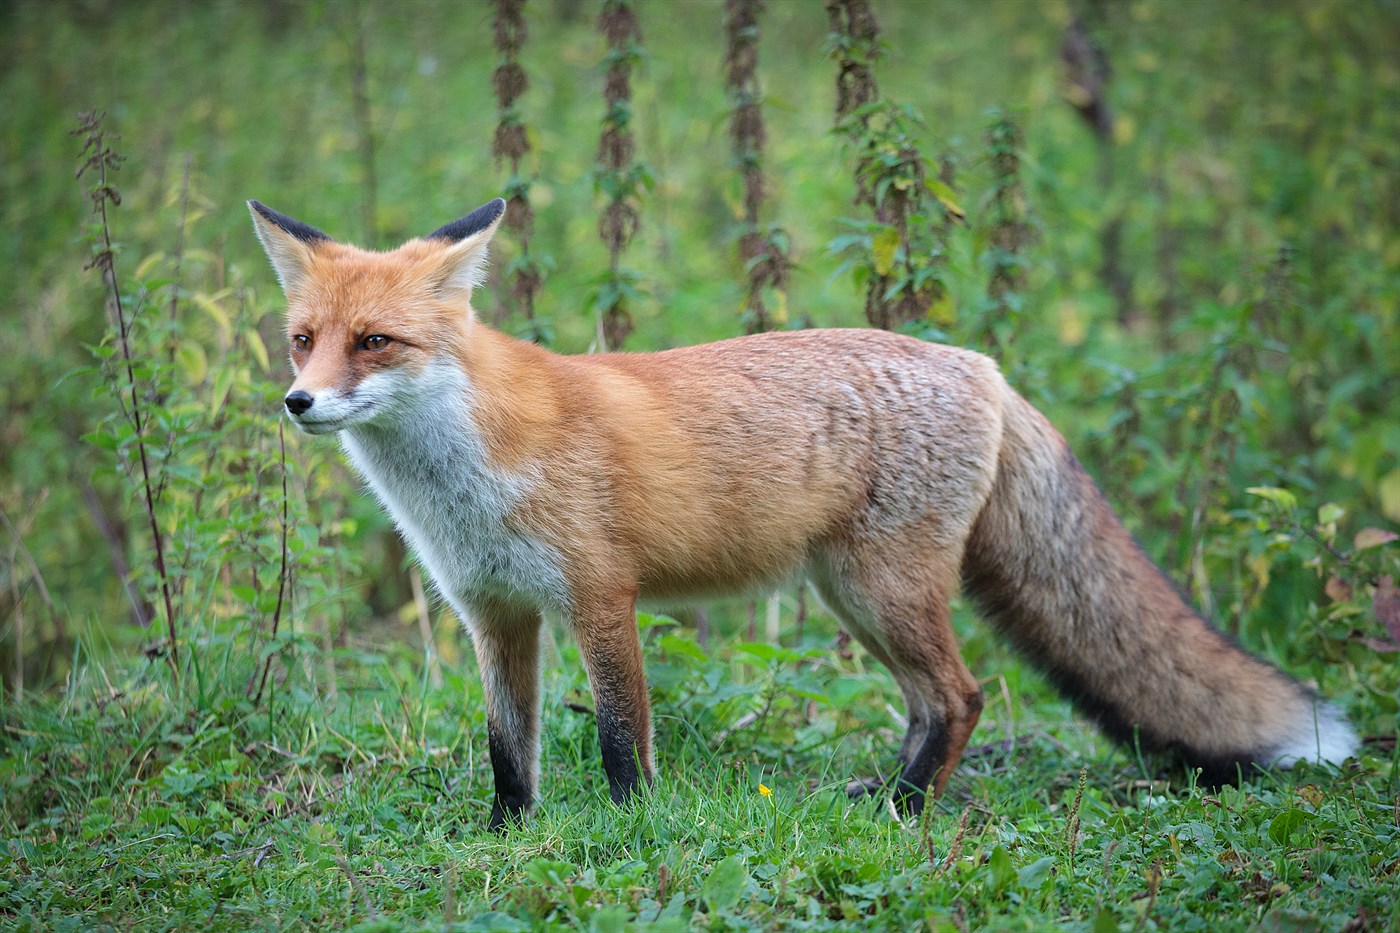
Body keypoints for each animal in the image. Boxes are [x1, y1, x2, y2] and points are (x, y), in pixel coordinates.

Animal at [252, 196, 1355, 829]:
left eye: (375, 342)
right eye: (304, 339)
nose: (298, 402)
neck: (463, 475)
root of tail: (982, 365)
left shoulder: (601, 597)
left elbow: (619, 738)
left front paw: (627, 836)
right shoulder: (495, 613)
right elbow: (506, 749)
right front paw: (508, 836)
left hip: (881, 591)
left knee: (963, 697)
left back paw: (904, 814)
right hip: (852, 599)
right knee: (930, 704)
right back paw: (891, 793)